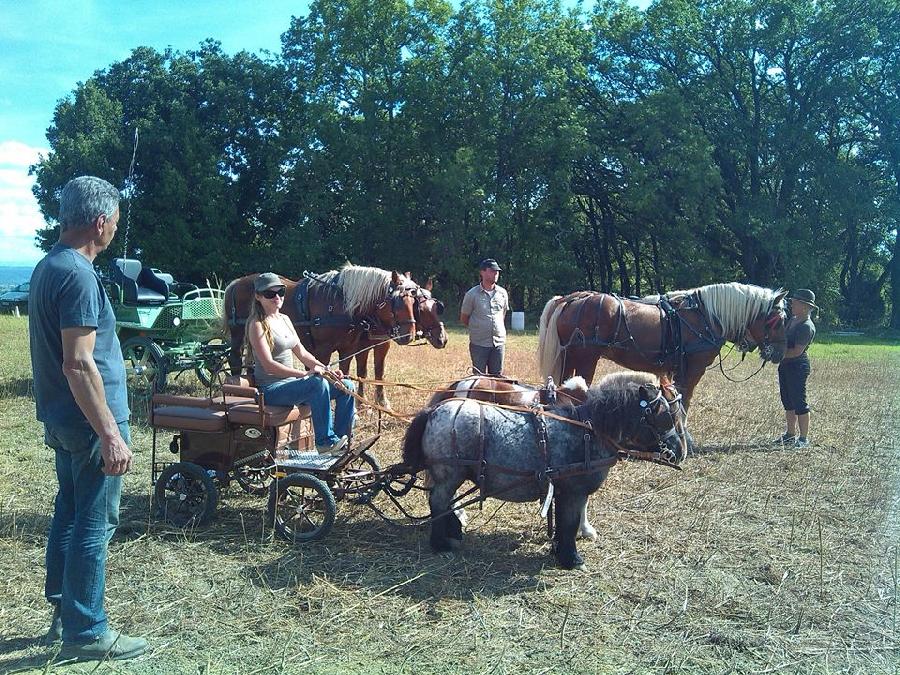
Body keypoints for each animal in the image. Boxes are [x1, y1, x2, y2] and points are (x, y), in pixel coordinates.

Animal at [223, 264, 448, 406]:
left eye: (414, 302)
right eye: (400, 302)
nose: (442, 339)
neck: (342, 305)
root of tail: (235, 282)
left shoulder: (357, 346)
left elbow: (364, 372)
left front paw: (368, 402)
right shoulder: (328, 349)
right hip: (238, 335)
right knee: (234, 359)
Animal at [402, 374, 688, 572]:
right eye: (665, 415)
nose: (679, 450)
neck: (588, 430)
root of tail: (434, 410)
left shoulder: (563, 490)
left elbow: (564, 521)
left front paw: (560, 549)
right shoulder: (573, 491)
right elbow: (570, 522)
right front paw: (572, 558)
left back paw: (453, 532)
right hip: (449, 474)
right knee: (439, 502)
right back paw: (441, 543)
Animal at [536, 280, 788, 412]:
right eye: (779, 321)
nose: (780, 353)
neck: (705, 316)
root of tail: (573, 298)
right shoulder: (694, 369)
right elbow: (685, 399)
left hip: (570, 356)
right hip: (586, 358)